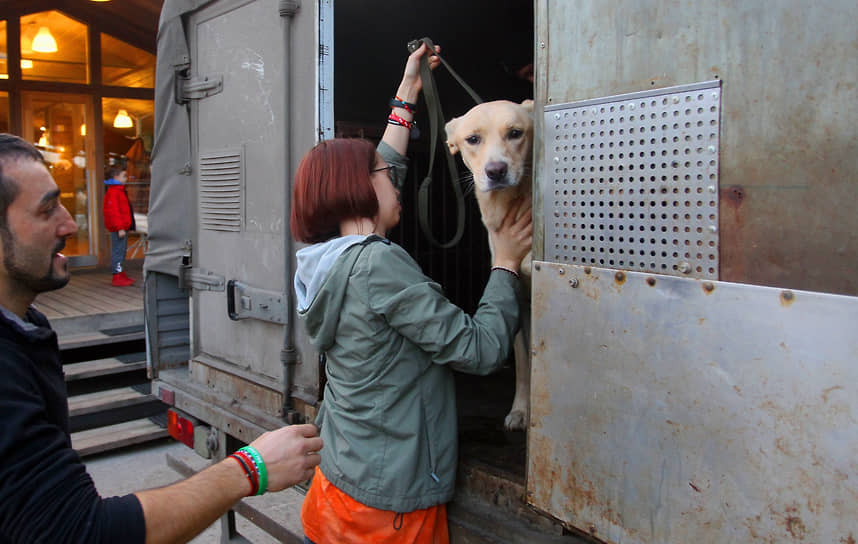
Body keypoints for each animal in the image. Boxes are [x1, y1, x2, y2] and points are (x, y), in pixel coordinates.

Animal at [444, 98, 532, 430]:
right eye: (473, 139)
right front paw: (521, 410)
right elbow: (524, 360)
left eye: (516, 133)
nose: (496, 171)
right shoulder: (517, 295)